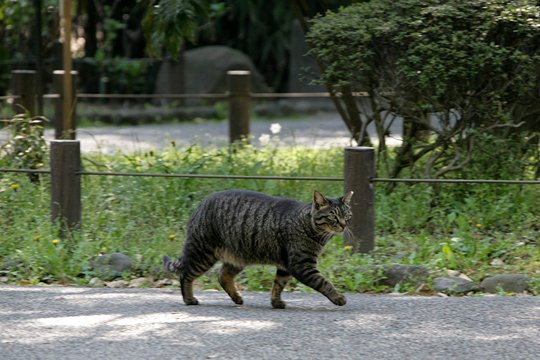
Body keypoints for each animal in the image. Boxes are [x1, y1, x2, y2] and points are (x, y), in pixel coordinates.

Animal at [162, 190, 352, 308]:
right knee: (185, 274)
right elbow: (324, 282)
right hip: (202, 253)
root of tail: (201, 204)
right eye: (334, 217)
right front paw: (338, 298)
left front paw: (276, 302)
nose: (344, 225)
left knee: (222, 276)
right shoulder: (302, 265)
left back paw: (237, 298)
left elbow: (278, 285)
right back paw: (189, 299)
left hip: (236, 257)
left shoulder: (285, 267)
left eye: (347, 215)